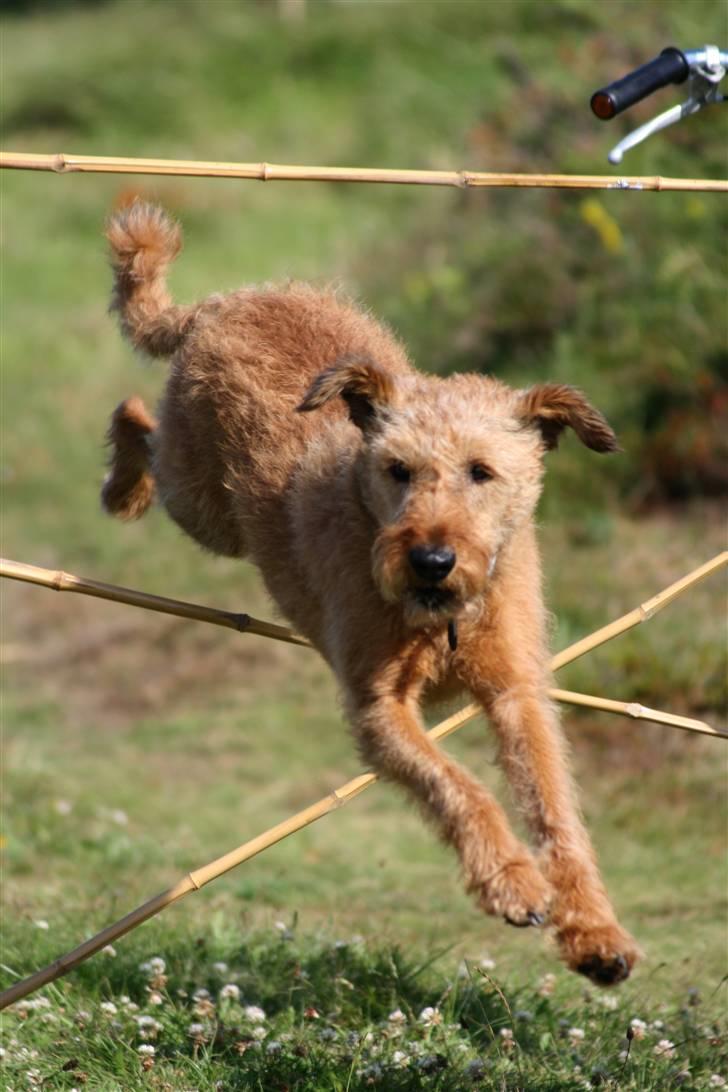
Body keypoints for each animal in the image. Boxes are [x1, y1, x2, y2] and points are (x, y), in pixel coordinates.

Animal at [100, 200, 637, 987]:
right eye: (397, 469)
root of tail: (227, 300)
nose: (432, 560)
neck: (443, 621)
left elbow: (555, 809)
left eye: (482, 471)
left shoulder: (517, 692)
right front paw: (513, 882)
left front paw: (596, 933)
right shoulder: (379, 705)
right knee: (136, 417)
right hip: (201, 500)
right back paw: (122, 487)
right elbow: (457, 785)